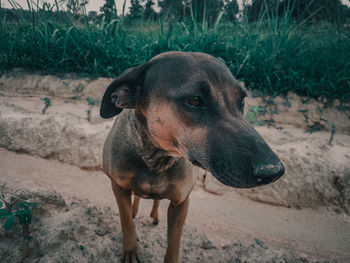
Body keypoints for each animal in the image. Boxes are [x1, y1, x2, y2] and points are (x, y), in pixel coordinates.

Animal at [99, 50, 284, 262]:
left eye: (242, 101)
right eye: (194, 100)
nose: (273, 170)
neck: (156, 158)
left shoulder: (181, 203)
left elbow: (173, 245)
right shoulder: (118, 187)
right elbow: (127, 221)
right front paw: (130, 250)